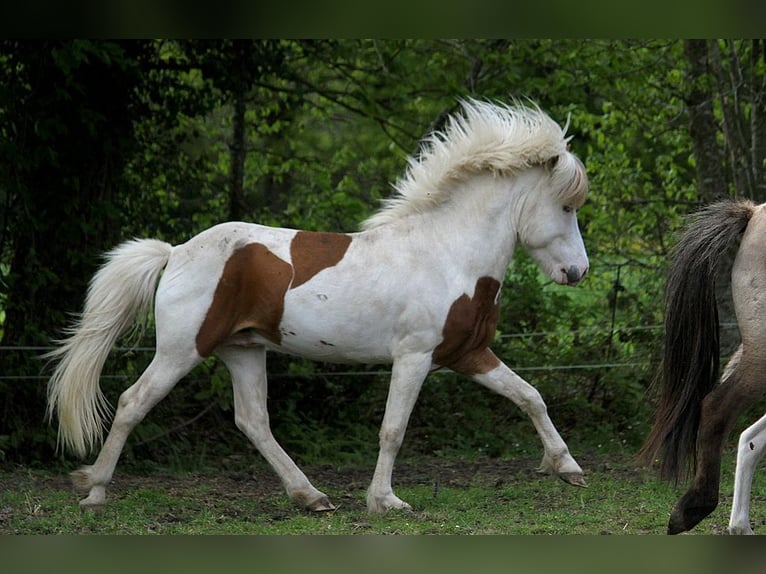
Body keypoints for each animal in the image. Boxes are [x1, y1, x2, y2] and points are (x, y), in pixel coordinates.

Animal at [45, 98, 592, 512]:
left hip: (243, 350)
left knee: (253, 422)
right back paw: (94, 491)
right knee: (132, 403)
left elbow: (530, 396)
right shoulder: (413, 357)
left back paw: (311, 497)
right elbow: (393, 429)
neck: (447, 254)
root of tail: (176, 252)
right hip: (182, 350)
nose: (578, 273)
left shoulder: (466, 353)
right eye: (566, 206)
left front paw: (567, 467)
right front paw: (385, 501)